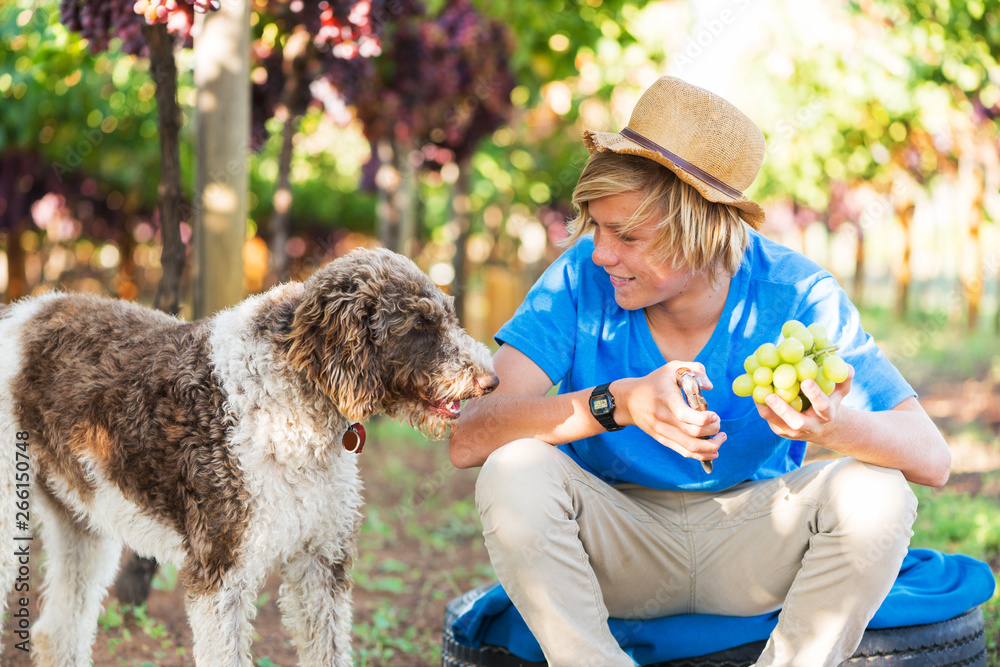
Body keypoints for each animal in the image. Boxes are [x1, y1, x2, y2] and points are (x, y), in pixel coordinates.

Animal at [0, 248, 498, 664]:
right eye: (419, 325)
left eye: (448, 316)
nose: (492, 380)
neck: (292, 399)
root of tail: (21, 313)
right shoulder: (221, 575)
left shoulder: (321, 561)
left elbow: (330, 651)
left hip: (82, 521)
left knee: (56, 632)